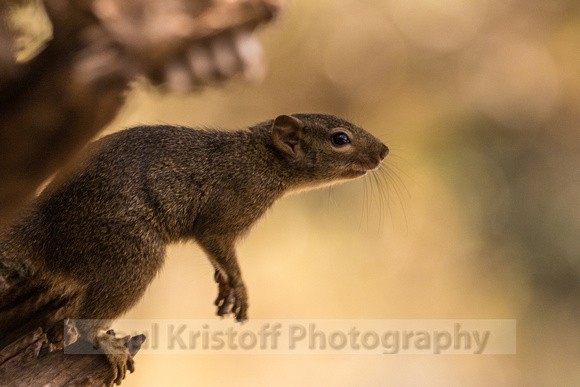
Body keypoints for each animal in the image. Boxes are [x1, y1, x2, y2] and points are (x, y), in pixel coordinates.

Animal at [2, 112, 390, 384]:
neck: (261, 160)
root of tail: (42, 231)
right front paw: (240, 288)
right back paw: (105, 342)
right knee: (79, 319)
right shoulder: (225, 213)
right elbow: (220, 247)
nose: (384, 151)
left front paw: (225, 288)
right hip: (129, 255)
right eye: (340, 139)